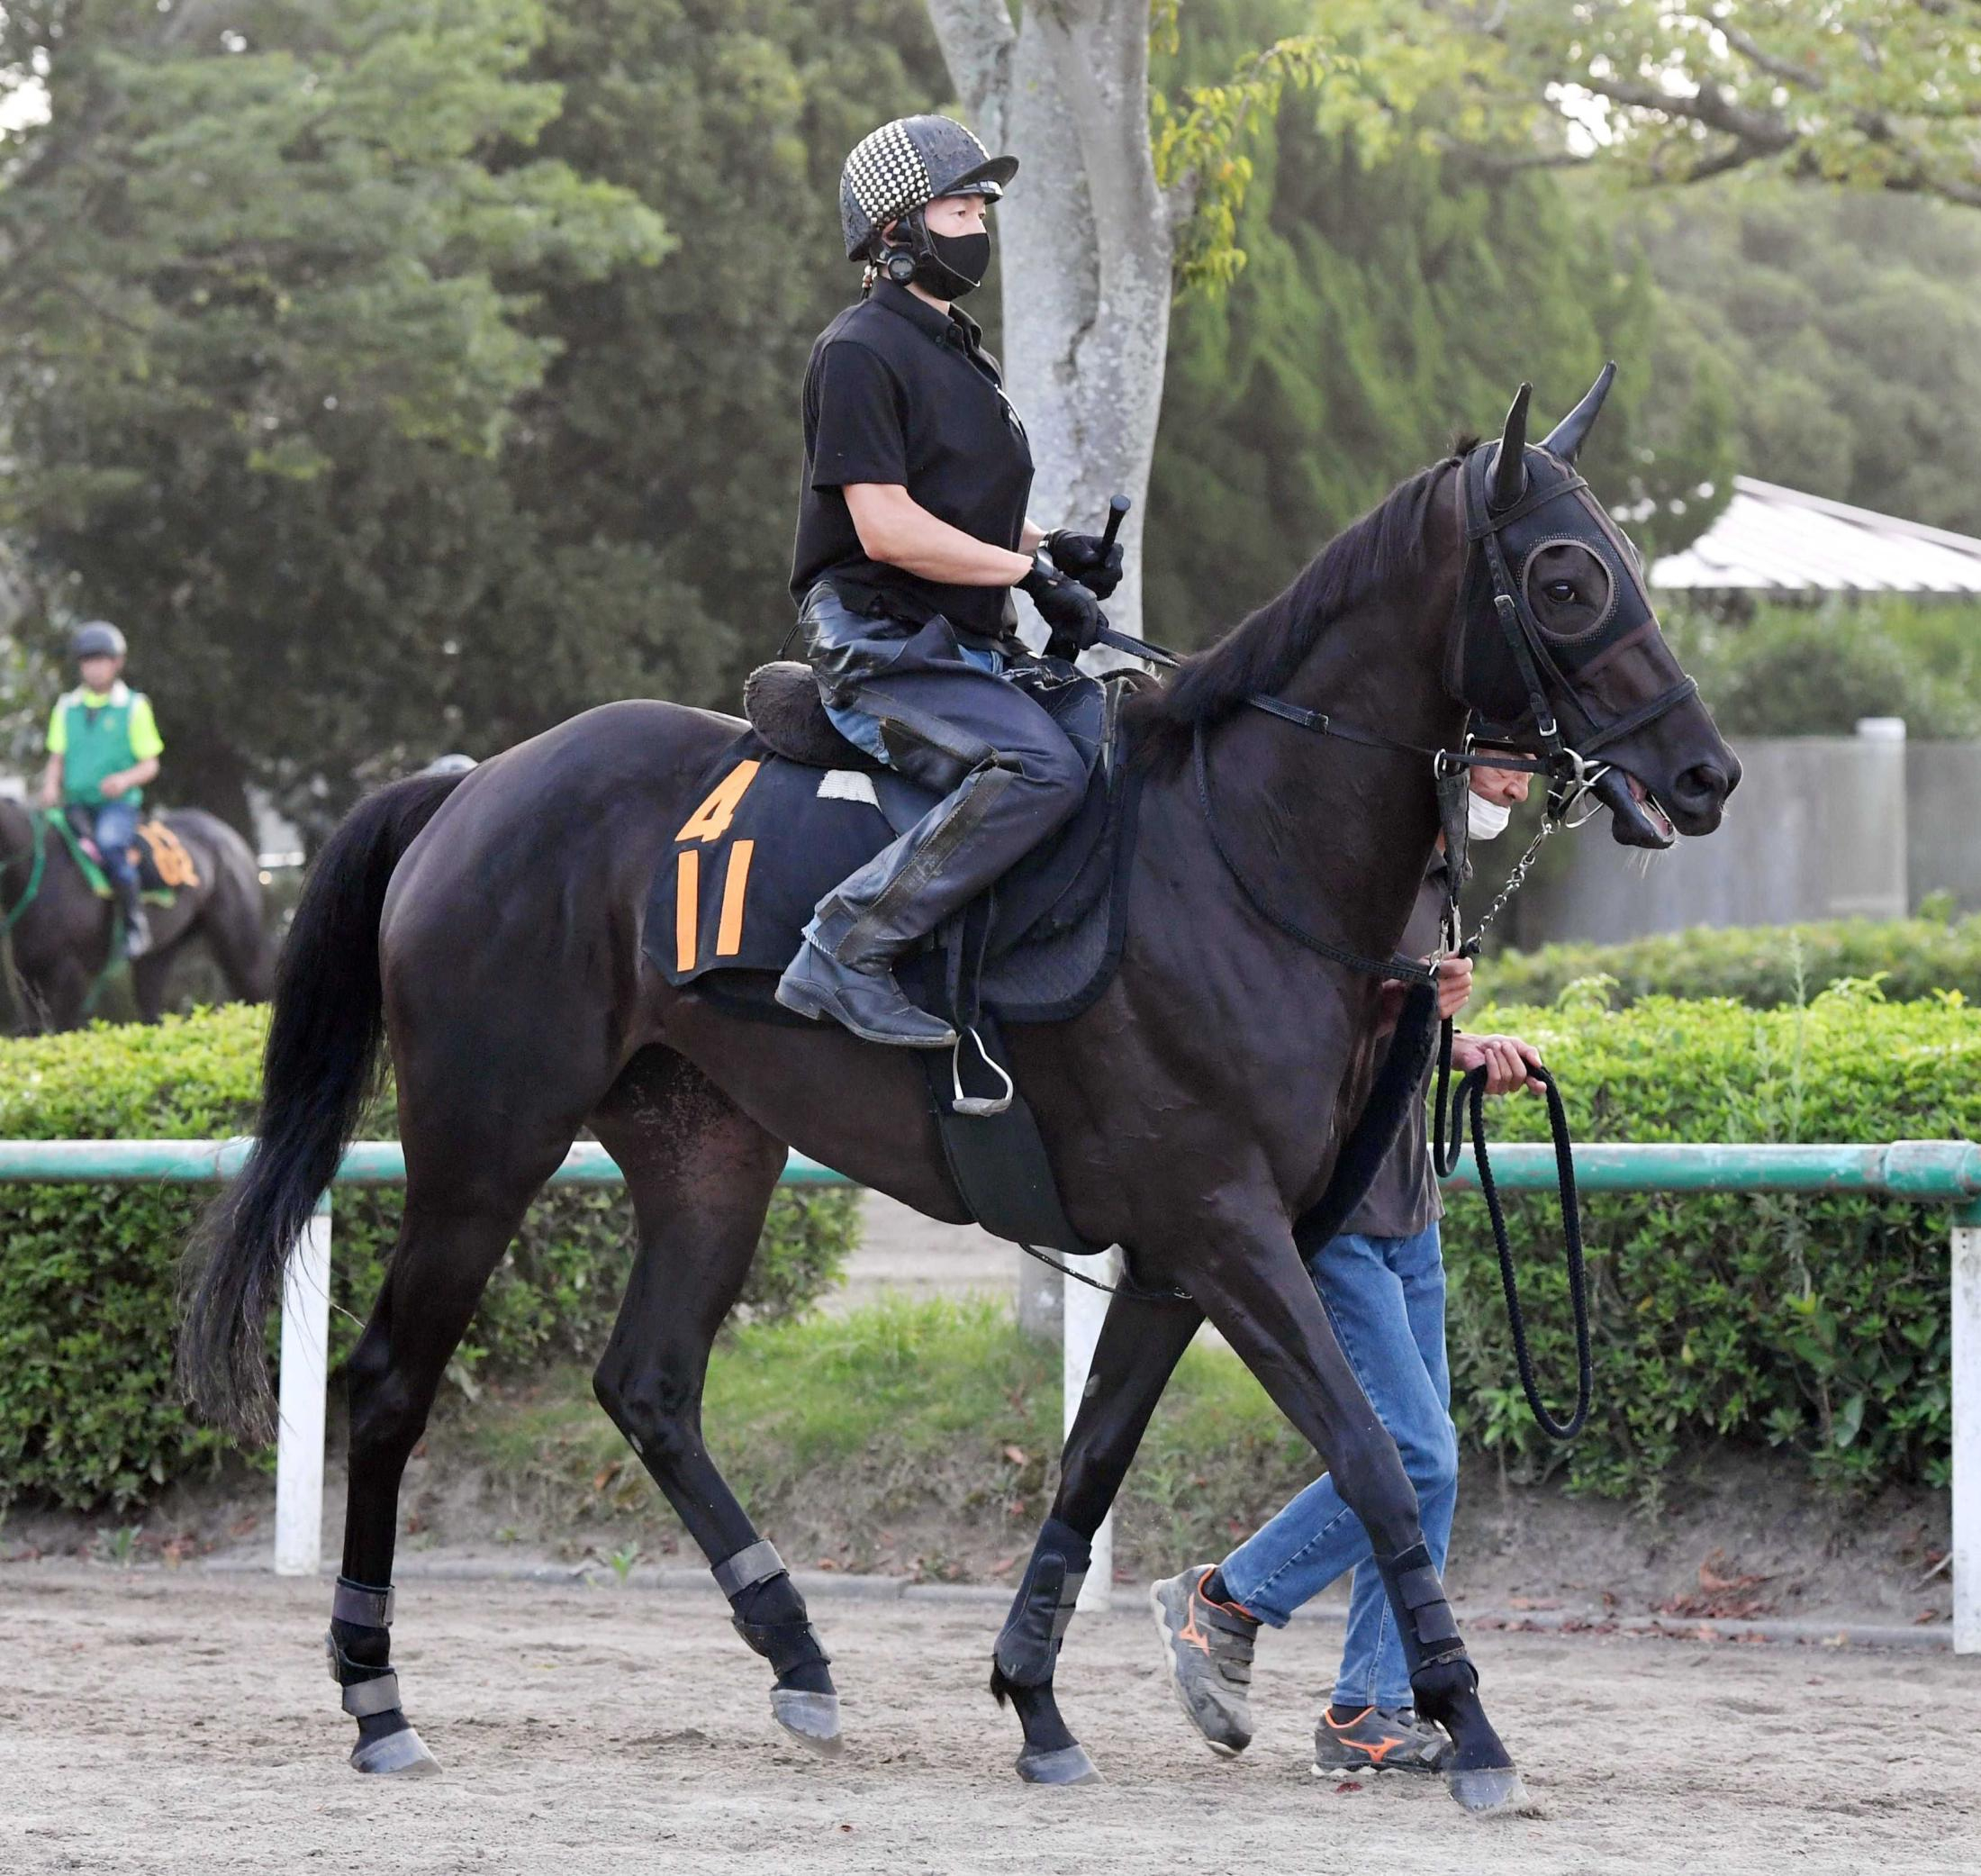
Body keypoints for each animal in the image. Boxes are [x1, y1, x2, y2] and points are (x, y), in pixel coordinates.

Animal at [0, 792, 275, 1029]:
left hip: (240, 946)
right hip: (158, 954)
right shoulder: (27, 974)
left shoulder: (70, 973)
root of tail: (229, 835)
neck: (40, 870)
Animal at [182, 378, 1735, 1807]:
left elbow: (1090, 1467)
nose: (1704, 771)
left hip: (708, 1149)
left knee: (652, 1382)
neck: (1240, 852)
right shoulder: (1229, 1229)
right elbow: (1369, 1455)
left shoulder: (1175, 1253)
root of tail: (466, 785)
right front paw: (1467, 1717)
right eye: (1568, 576)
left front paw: (1036, 1699)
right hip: (484, 1141)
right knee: (392, 1381)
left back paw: (797, 1647)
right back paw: (376, 1690)